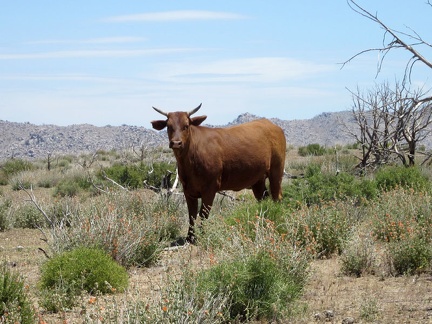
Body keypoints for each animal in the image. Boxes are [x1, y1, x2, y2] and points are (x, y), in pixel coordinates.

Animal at [152, 104, 286, 243]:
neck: (190, 161)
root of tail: (272, 125)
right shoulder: (188, 190)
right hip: (258, 180)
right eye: (168, 126)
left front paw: (202, 235)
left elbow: (203, 213)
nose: (176, 143)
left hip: (276, 171)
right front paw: (189, 238)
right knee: (263, 198)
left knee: (277, 196)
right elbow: (192, 214)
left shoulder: (210, 188)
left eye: (186, 125)